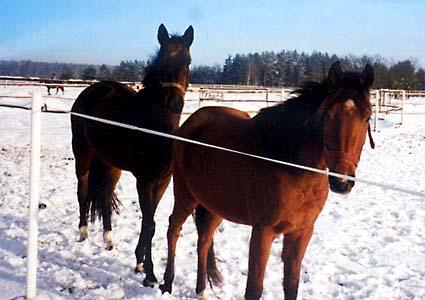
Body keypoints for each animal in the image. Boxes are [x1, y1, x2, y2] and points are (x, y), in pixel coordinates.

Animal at [70, 23, 219, 286]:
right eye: (162, 61)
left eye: (188, 61)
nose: (175, 104)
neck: (157, 129)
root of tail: (92, 90)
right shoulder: (145, 181)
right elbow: (149, 223)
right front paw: (149, 273)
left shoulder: (162, 182)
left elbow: (149, 223)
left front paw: (140, 263)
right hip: (83, 154)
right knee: (83, 190)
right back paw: (83, 232)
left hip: (111, 164)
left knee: (105, 195)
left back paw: (108, 238)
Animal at [159, 62, 374, 298]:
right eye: (327, 115)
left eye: (367, 117)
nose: (342, 181)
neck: (291, 166)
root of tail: (190, 122)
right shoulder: (263, 231)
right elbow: (254, 288)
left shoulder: (301, 233)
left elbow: (291, 285)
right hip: (185, 194)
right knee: (174, 229)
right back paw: (167, 283)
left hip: (215, 205)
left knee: (204, 241)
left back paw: (201, 290)